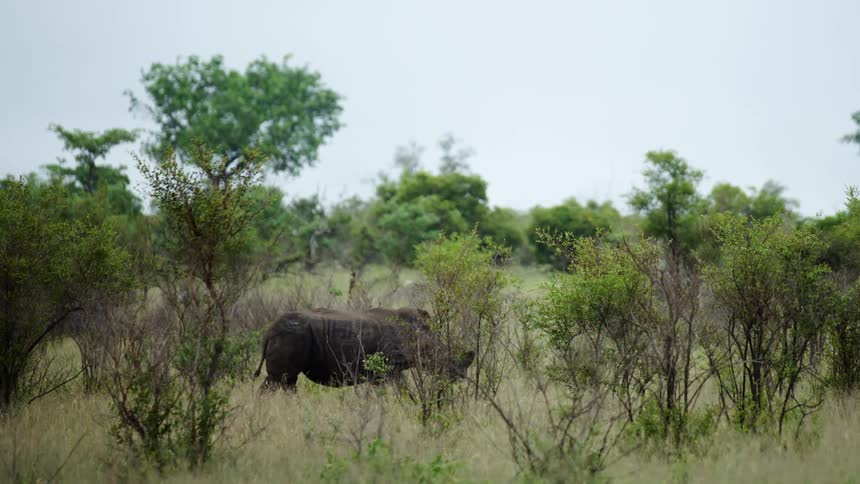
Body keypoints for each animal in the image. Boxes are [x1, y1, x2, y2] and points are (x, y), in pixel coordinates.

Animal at [253, 307, 474, 391]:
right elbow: (400, 389)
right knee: (281, 380)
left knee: (285, 381)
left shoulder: (380, 373)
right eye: (445, 357)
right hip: (291, 337)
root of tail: (270, 330)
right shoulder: (390, 368)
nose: (460, 376)